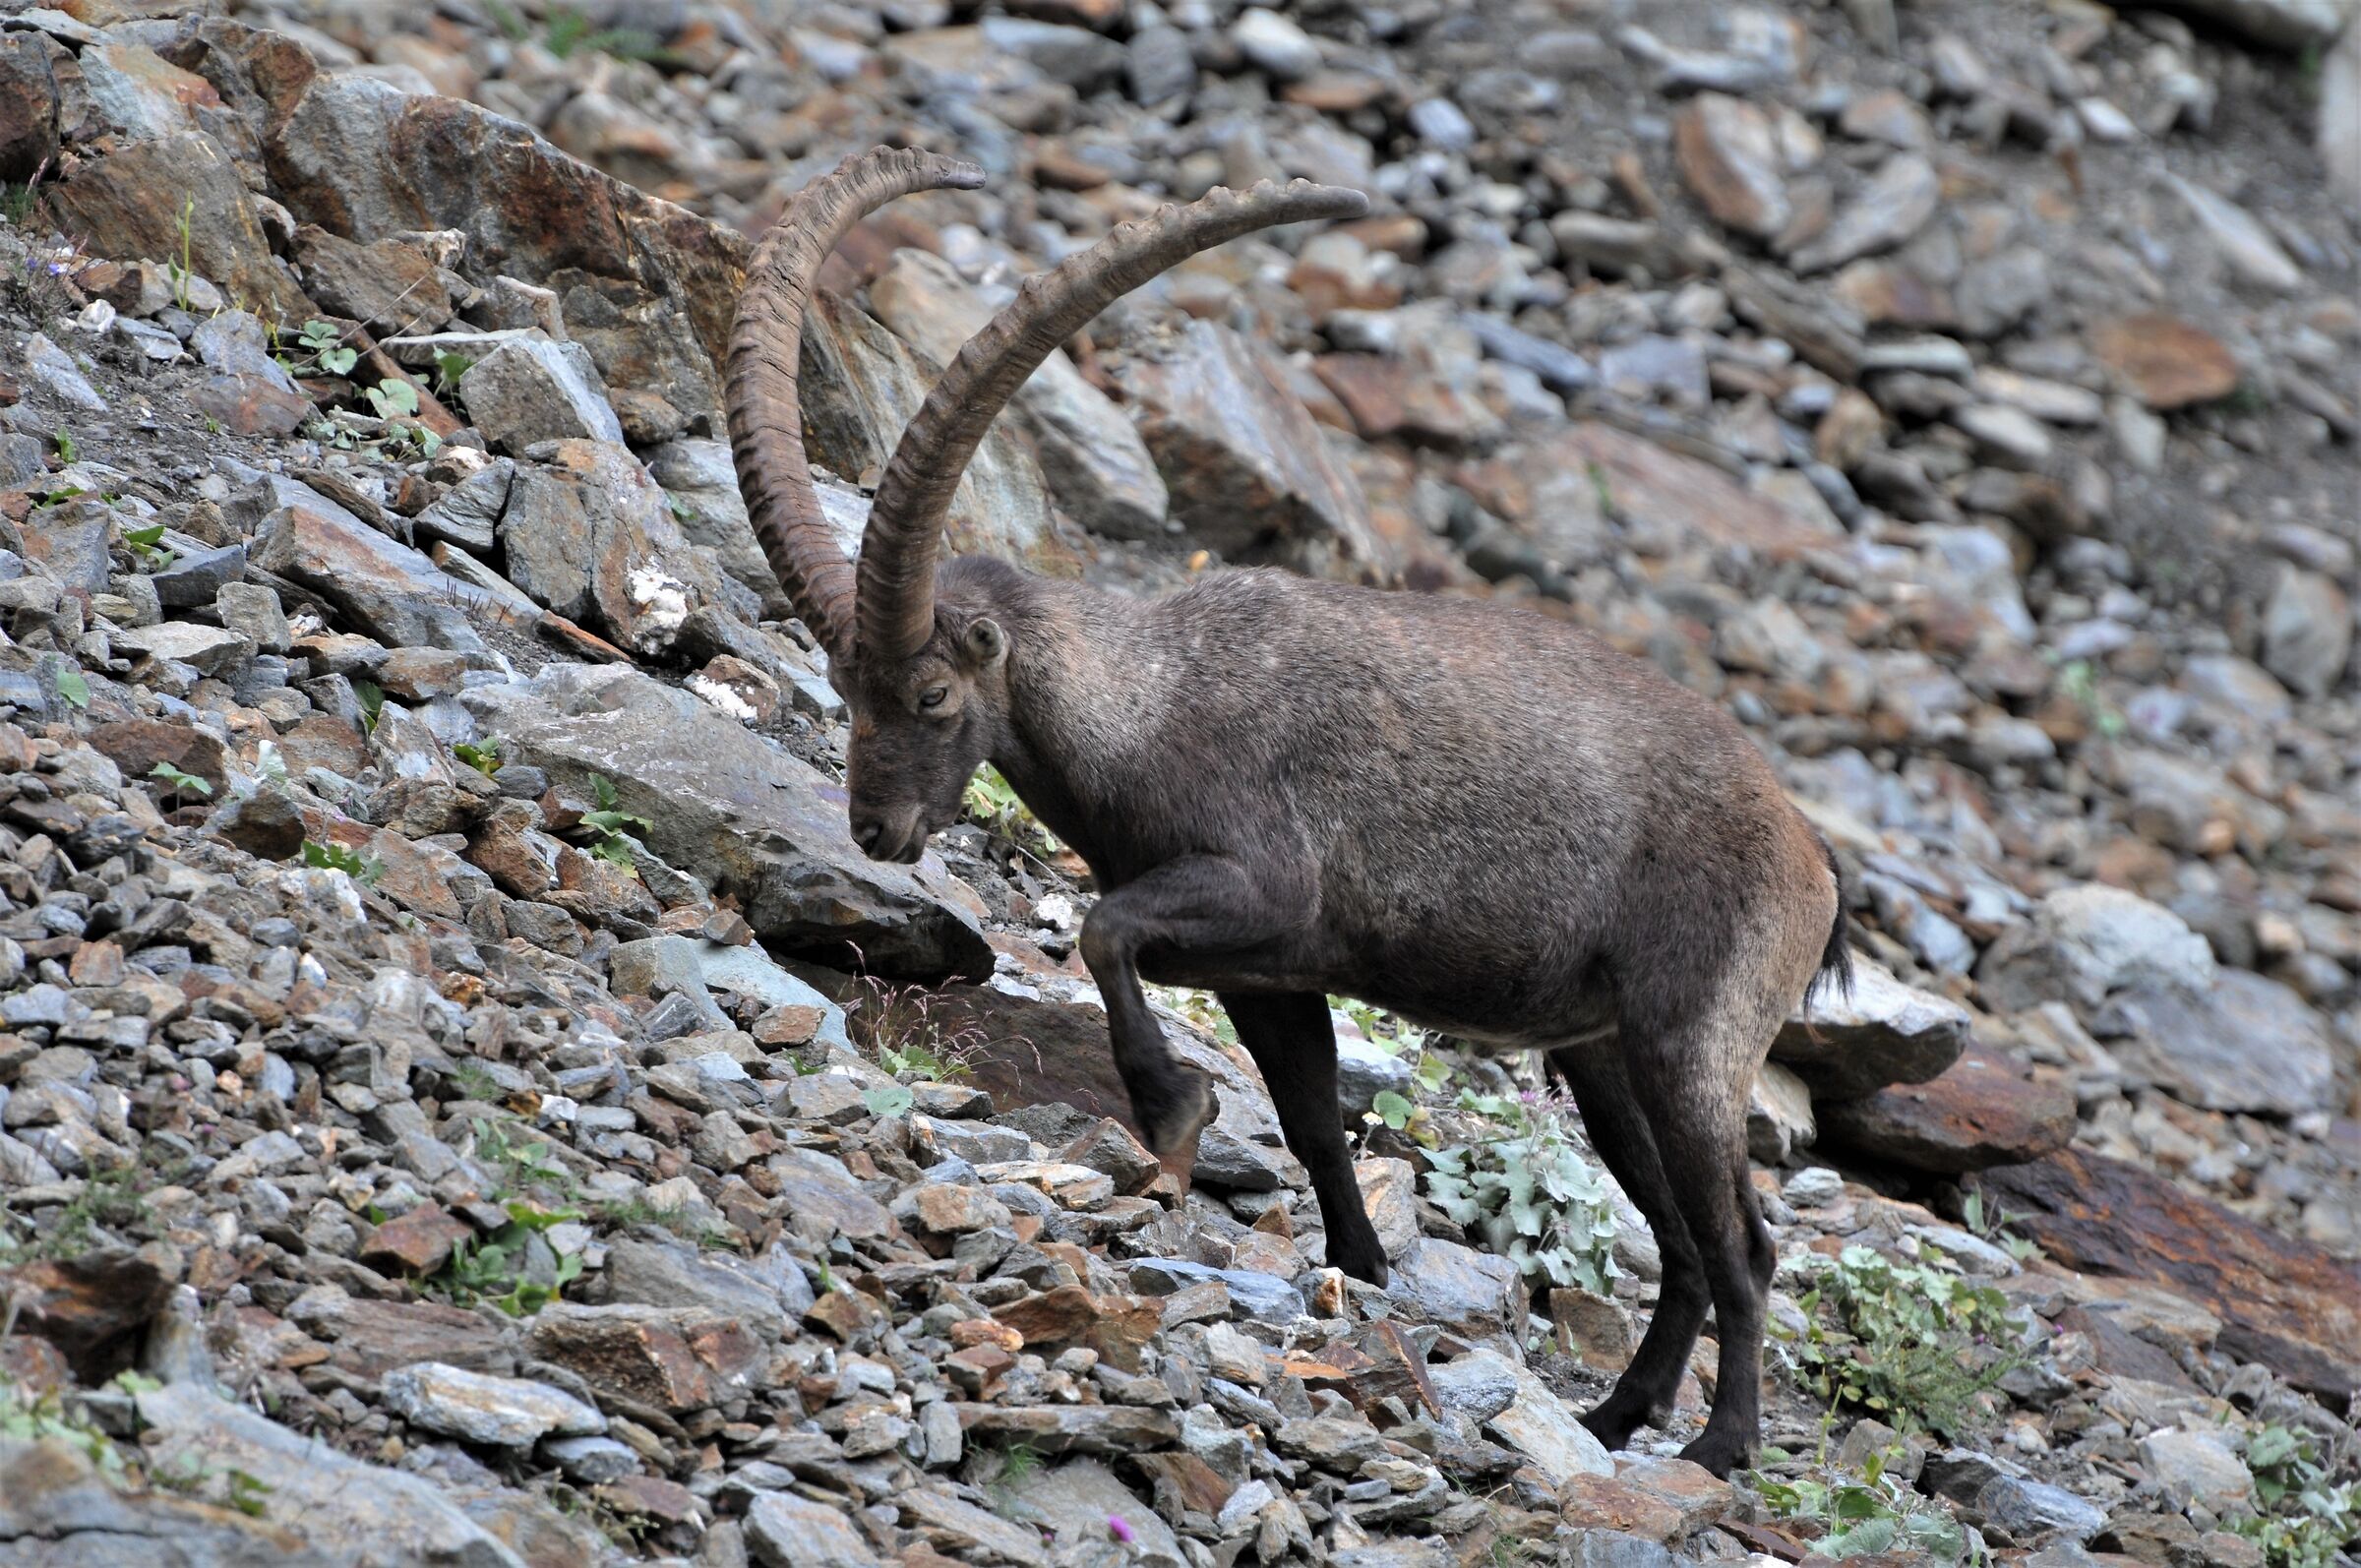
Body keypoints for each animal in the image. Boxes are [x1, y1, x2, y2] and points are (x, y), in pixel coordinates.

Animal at [724, 147, 1851, 1476]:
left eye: (934, 694)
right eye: (841, 686)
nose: (875, 832)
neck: (1146, 700)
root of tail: (1813, 859)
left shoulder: (1263, 889)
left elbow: (1105, 928)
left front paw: (1172, 1111)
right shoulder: (1272, 974)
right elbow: (1312, 1117)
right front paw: (1358, 1265)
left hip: (1693, 1041)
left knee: (1744, 1244)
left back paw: (1720, 1446)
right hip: (1605, 1055)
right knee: (1678, 1236)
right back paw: (1615, 1415)